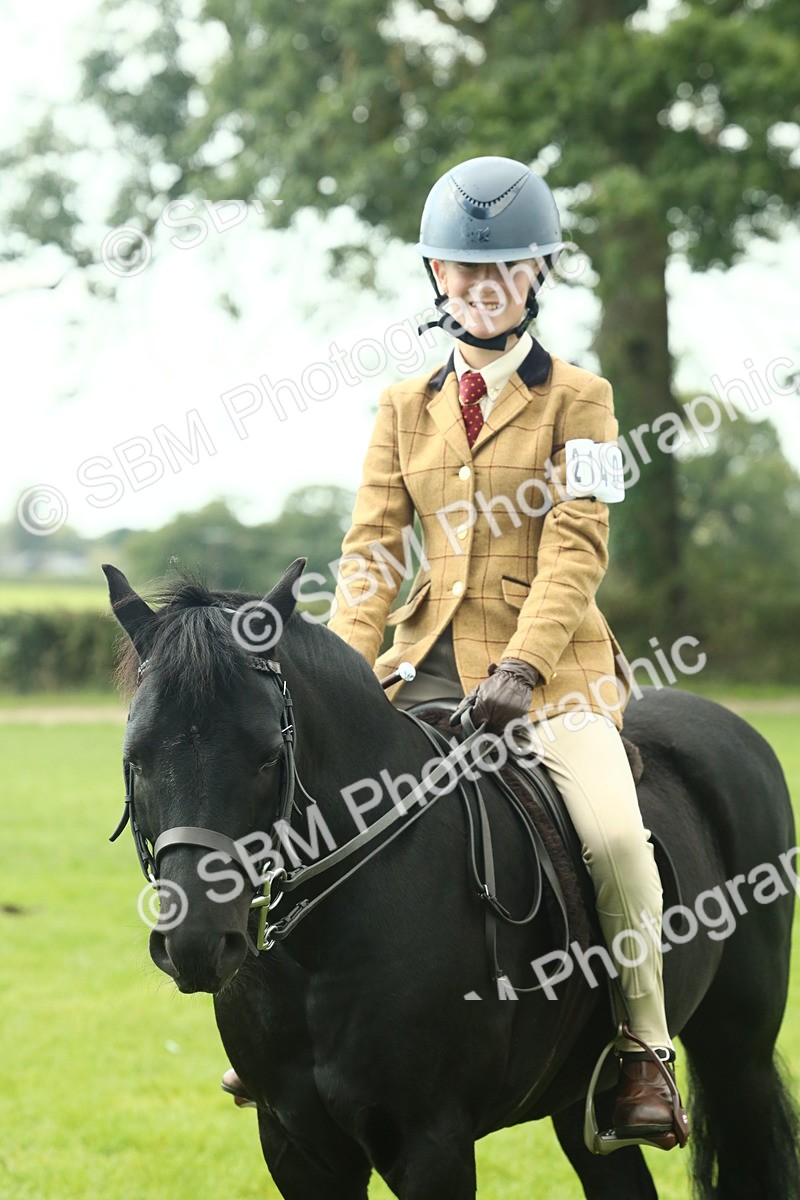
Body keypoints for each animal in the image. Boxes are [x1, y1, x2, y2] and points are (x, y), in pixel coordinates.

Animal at [104, 557, 800, 1199]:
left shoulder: (431, 1144)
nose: (195, 943)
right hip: (583, 1098)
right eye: (135, 758)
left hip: (738, 1057)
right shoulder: (294, 1147)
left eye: (269, 756)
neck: (318, 954)